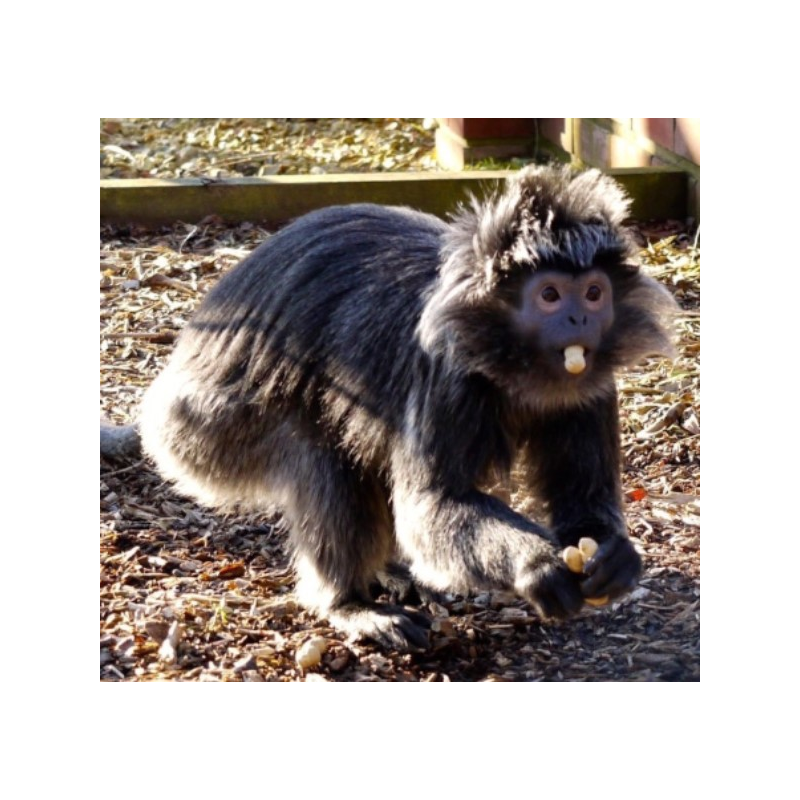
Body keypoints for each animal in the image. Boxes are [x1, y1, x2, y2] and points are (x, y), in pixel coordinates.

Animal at [102, 165, 675, 651]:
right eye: (551, 295)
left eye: (594, 293)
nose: (580, 320)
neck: (510, 360)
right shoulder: (446, 369)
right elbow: (432, 508)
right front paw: (535, 565)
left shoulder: (591, 387)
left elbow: (582, 501)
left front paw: (615, 557)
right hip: (204, 430)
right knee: (316, 449)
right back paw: (348, 603)